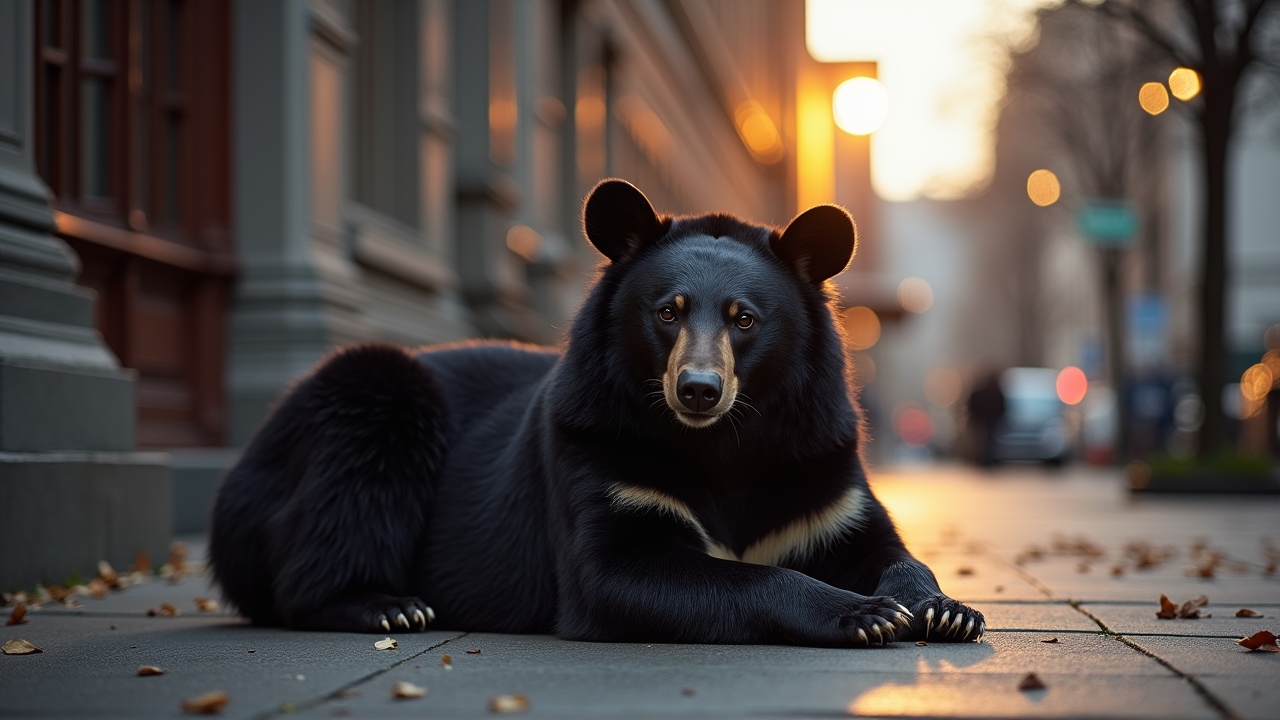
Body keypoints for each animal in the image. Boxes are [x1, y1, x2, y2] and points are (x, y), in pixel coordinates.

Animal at [208, 179, 984, 647]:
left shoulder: (818, 472)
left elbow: (887, 549)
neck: (727, 441)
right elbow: (627, 573)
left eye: (745, 319)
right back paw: (387, 604)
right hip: (366, 399)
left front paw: (942, 608)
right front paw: (862, 613)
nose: (698, 390)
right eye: (667, 311)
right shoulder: (600, 455)